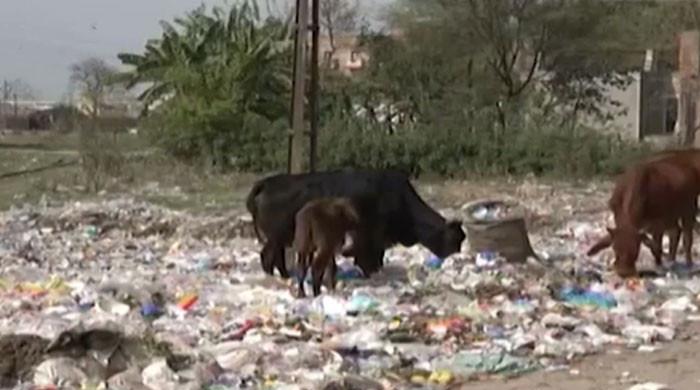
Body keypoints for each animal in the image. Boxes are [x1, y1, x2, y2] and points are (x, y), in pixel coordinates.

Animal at [245, 170, 464, 278]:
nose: (458, 252)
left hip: (279, 238)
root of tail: (266, 183)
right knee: (268, 257)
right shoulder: (370, 235)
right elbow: (369, 257)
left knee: (275, 257)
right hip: (276, 236)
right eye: (456, 238)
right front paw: (370, 272)